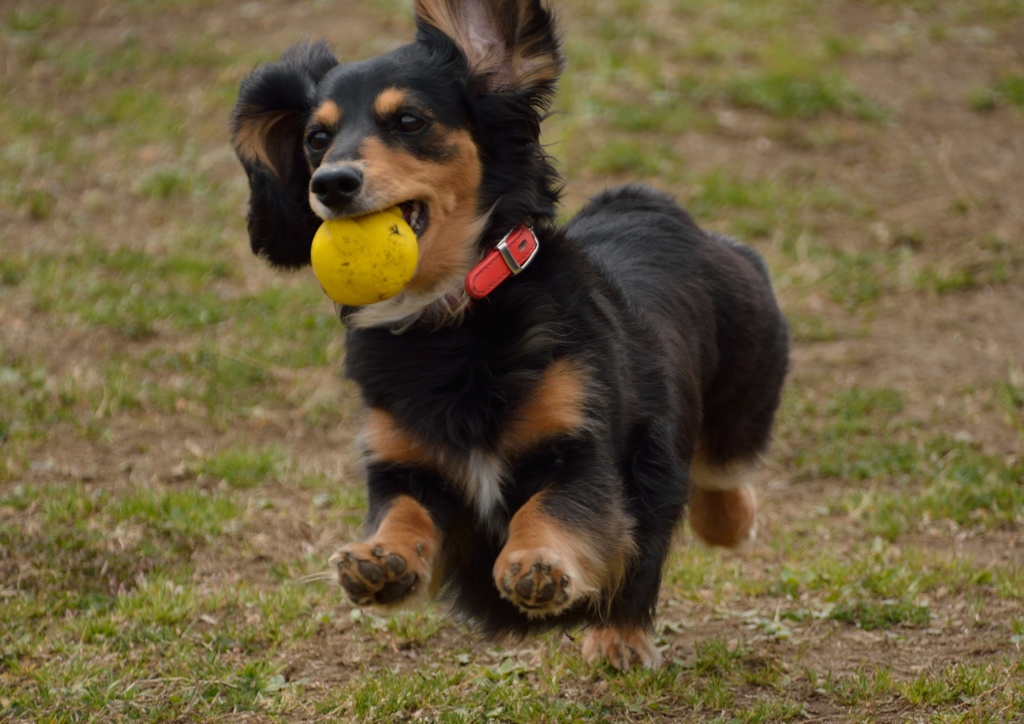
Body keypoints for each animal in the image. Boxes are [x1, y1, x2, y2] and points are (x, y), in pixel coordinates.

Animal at [232, 0, 790, 671]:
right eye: (317, 139)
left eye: (410, 121)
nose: (331, 183)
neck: (453, 322)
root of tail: (651, 202)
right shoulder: (401, 462)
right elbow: (403, 511)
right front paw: (379, 560)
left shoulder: (584, 444)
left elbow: (555, 507)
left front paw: (538, 566)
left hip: (745, 388)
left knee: (718, 477)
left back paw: (659, 594)